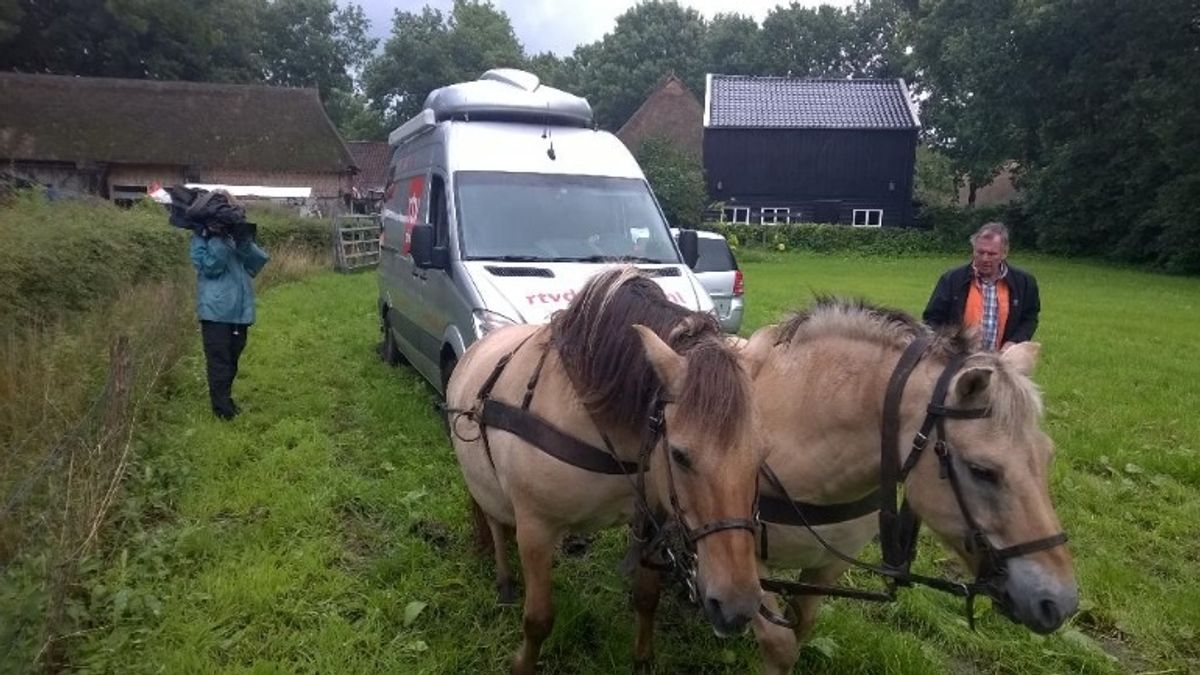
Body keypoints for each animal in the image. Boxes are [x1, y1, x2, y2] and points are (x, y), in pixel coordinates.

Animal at [446, 267, 763, 674]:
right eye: (679, 455)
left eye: (761, 455)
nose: (737, 608)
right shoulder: (535, 528)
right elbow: (538, 619)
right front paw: (523, 663)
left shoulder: (652, 518)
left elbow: (646, 596)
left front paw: (642, 658)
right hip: (485, 486)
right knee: (496, 523)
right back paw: (504, 581)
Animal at [738, 298, 1078, 674]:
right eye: (982, 471)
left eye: (1047, 456)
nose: (1059, 602)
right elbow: (780, 643)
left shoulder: (827, 565)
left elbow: (802, 628)